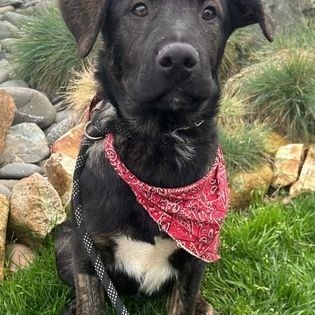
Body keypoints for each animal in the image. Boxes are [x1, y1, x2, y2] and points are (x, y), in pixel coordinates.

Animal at [56, 1, 274, 314]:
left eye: (209, 13)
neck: (160, 139)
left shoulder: (194, 262)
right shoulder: (87, 253)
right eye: (139, 9)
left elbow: (184, 301)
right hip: (63, 243)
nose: (180, 59)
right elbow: (91, 301)